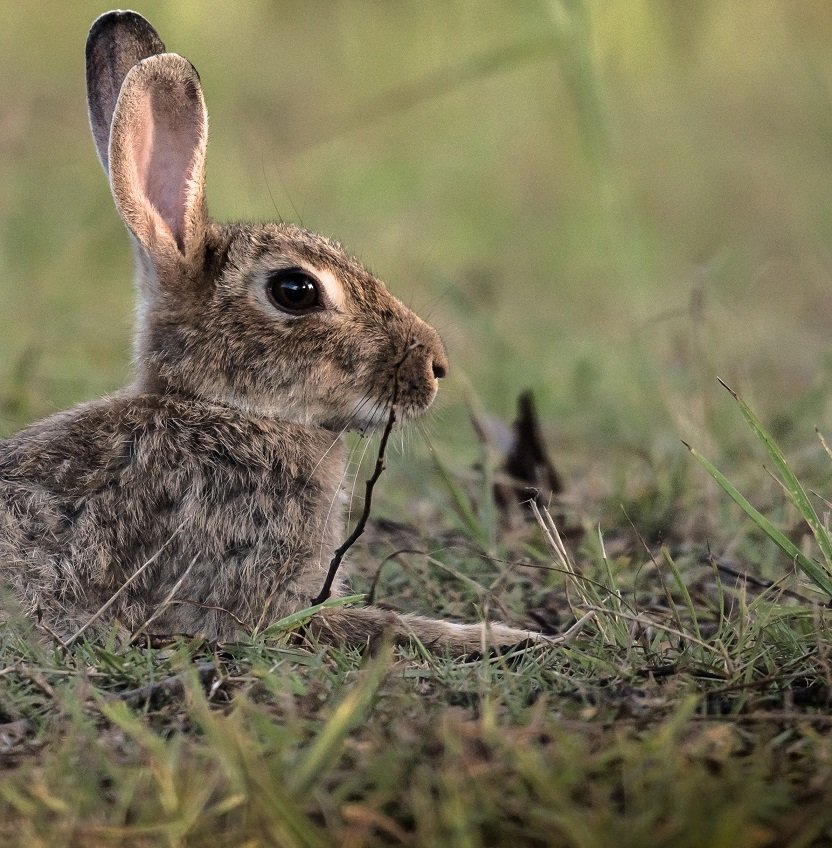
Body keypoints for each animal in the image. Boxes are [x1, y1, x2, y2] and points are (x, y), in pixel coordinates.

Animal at [0, 9, 544, 652]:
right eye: (295, 290)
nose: (437, 365)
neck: (222, 409)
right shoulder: (255, 597)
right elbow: (377, 624)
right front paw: (507, 637)